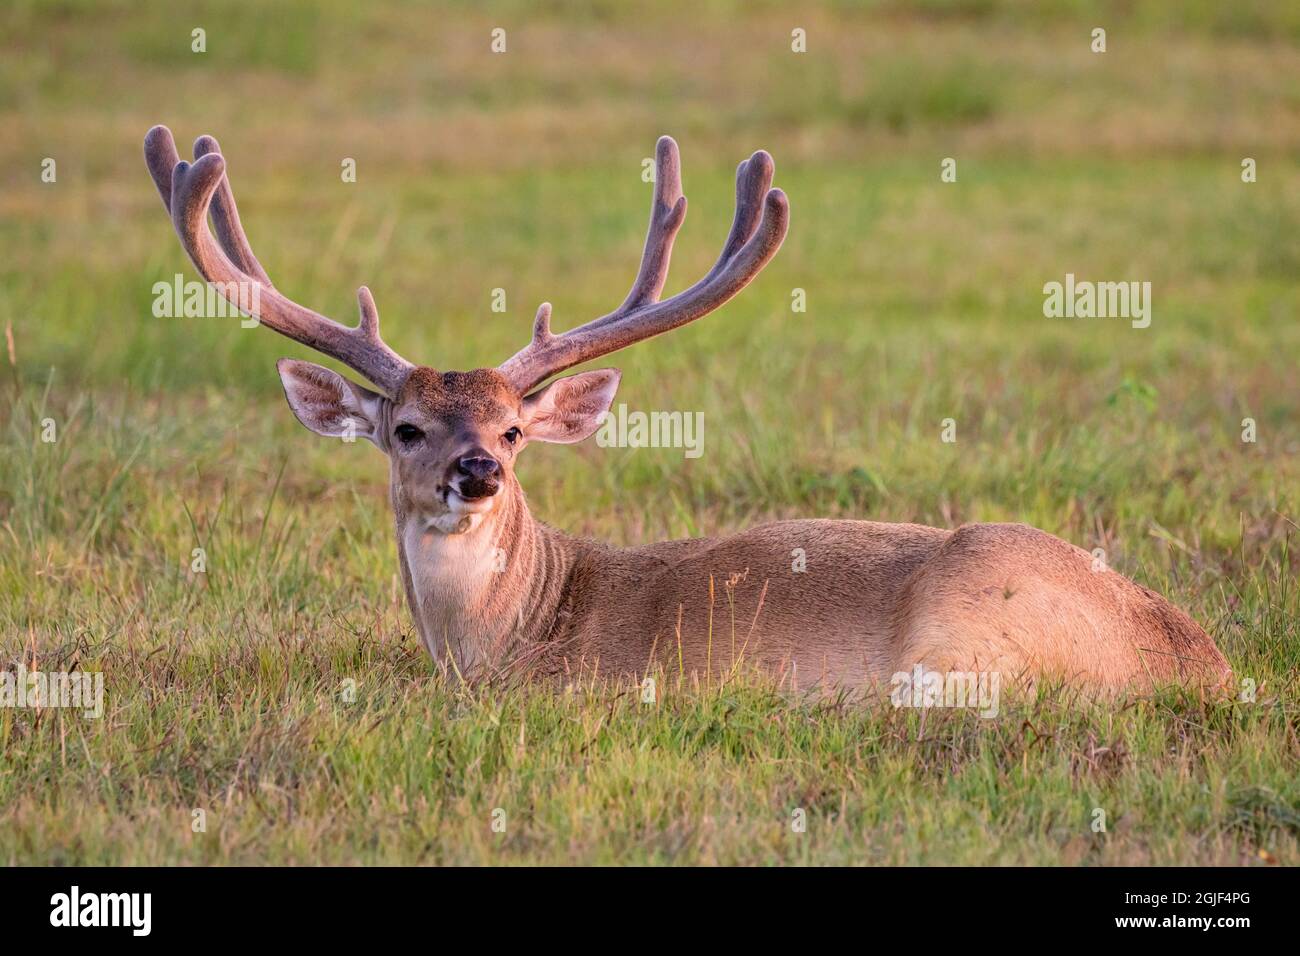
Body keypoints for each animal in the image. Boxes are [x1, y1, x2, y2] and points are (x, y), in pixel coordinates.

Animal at [142, 125, 1227, 697]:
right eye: (406, 428)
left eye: (512, 431)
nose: (477, 470)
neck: (514, 638)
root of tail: (1200, 660)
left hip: (962, 631)